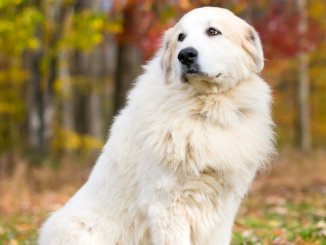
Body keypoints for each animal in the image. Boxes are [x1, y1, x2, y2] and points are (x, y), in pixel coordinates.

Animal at [38, 6, 276, 244]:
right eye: (181, 37)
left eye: (213, 31)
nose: (185, 54)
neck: (206, 108)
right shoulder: (168, 206)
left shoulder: (223, 210)